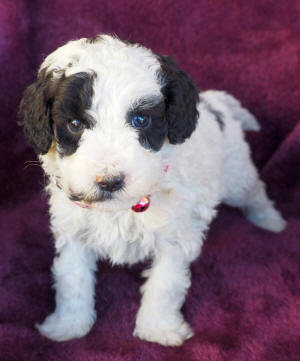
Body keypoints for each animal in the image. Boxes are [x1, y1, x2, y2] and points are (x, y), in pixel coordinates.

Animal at [19, 34, 286, 346]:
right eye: (75, 124)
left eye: (141, 120)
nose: (110, 181)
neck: (122, 208)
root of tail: (215, 105)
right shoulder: (73, 230)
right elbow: (72, 280)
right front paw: (68, 326)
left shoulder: (175, 235)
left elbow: (165, 284)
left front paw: (159, 329)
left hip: (236, 172)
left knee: (254, 191)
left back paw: (271, 222)